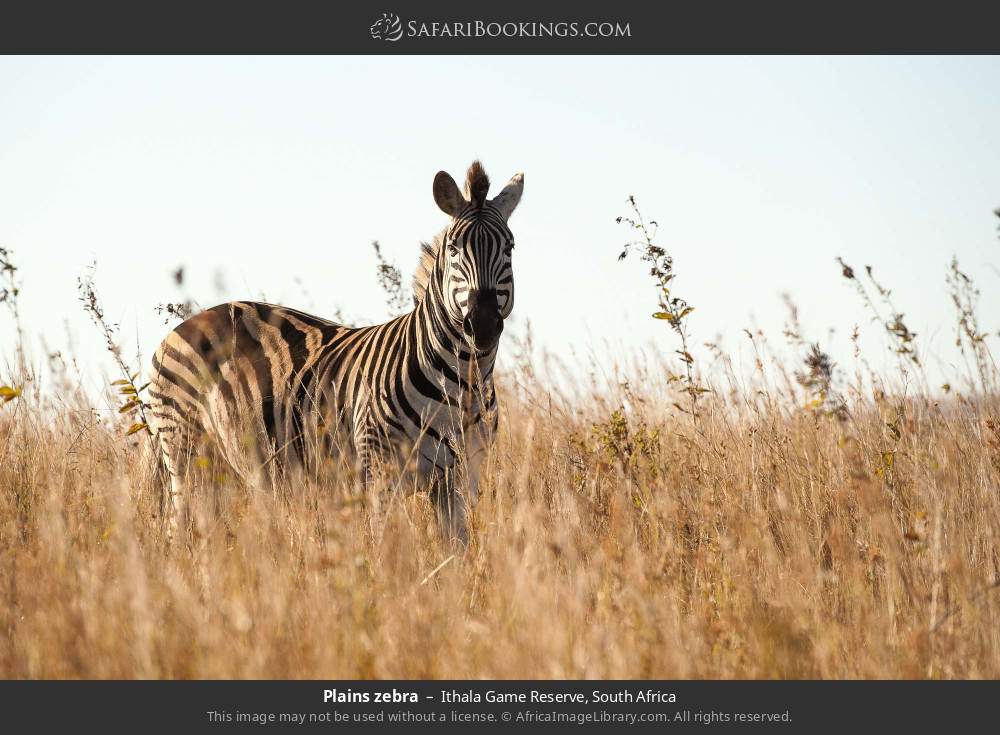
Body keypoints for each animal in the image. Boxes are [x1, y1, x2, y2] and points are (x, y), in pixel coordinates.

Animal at [147, 161, 523, 543]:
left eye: (510, 248)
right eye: (454, 249)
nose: (483, 324)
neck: (462, 381)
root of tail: (183, 326)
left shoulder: (461, 478)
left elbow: (456, 549)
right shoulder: (379, 475)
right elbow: (385, 548)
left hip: (220, 467)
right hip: (187, 452)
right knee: (181, 531)